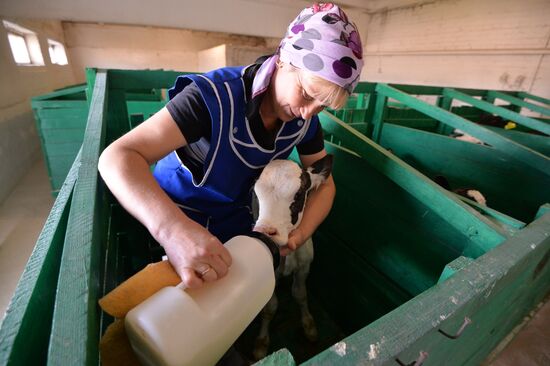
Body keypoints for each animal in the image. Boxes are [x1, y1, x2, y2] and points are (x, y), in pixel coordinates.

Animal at [252, 154, 334, 360]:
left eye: (298, 195)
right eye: (256, 194)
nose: (265, 230)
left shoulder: (305, 265)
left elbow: (300, 294)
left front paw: (309, 327)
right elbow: (270, 307)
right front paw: (261, 343)